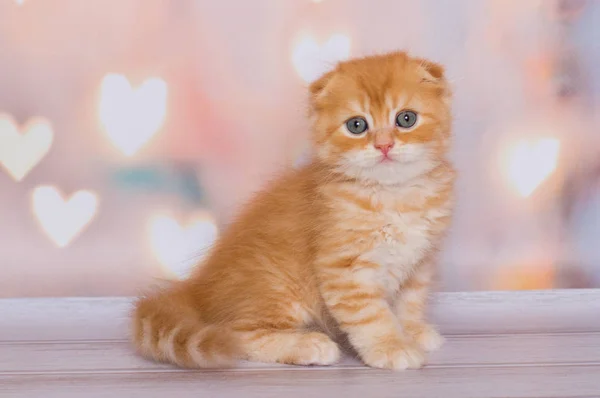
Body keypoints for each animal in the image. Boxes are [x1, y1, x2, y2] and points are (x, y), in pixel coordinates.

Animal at [132, 50, 454, 370]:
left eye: (406, 119)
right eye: (357, 125)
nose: (384, 145)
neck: (395, 195)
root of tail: (196, 289)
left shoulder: (418, 264)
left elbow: (409, 303)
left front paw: (412, 331)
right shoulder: (344, 270)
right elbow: (371, 316)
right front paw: (391, 347)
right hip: (276, 288)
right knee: (237, 334)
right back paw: (309, 345)